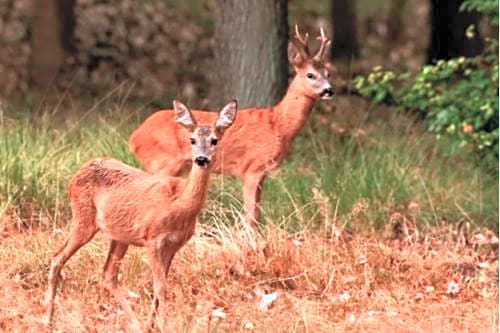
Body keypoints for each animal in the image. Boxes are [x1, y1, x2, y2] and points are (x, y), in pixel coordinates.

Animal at [44, 100, 237, 328]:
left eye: (214, 140)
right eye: (192, 140)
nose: (201, 159)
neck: (179, 205)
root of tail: (78, 173)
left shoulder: (174, 245)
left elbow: (159, 287)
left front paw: (151, 325)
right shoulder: (152, 239)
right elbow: (161, 287)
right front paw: (164, 325)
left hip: (120, 236)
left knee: (108, 273)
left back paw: (135, 323)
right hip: (83, 218)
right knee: (57, 257)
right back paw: (48, 319)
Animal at [129, 26, 332, 228]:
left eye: (328, 73)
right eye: (310, 74)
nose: (329, 90)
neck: (278, 126)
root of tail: (134, 137)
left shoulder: (262, 174)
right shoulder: (251, 168)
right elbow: (251, 216)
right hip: (162, 162)